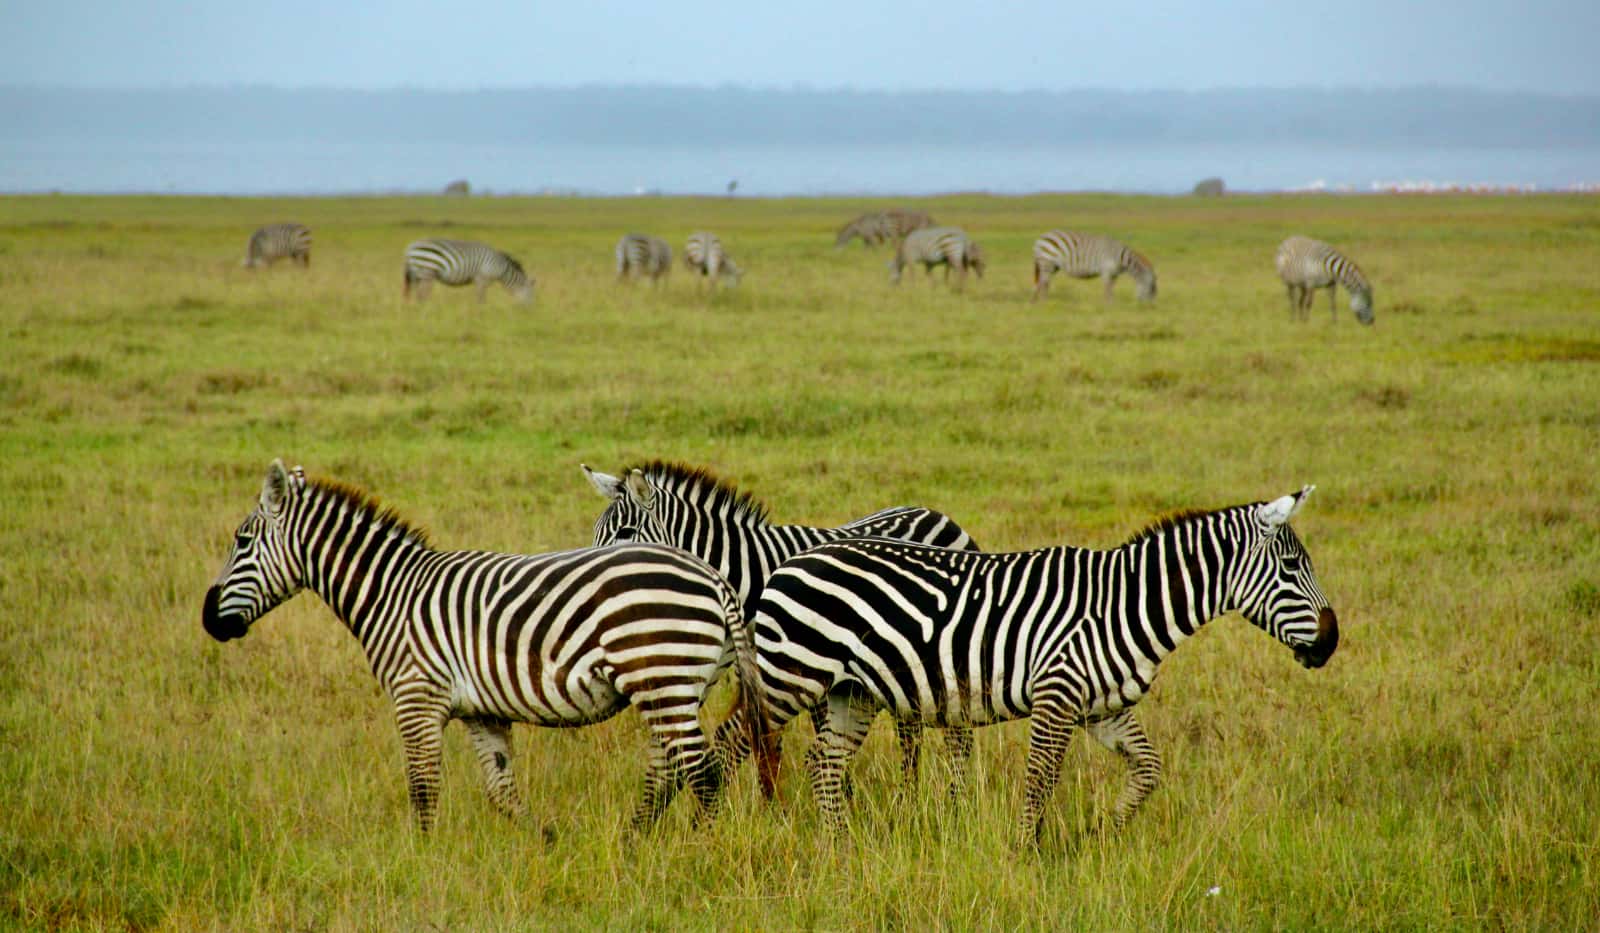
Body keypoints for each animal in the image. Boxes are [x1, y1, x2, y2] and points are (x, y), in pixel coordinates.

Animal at [200, 460, 774, 832]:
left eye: (242, 542)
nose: (208, 618)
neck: (391, 592)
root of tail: (713, 577)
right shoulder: (482, 712)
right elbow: (502, 791)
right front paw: (546, 840)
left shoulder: (417, 698)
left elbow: (422, 790)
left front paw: (422, 860)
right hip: (674, 686)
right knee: (672, 767)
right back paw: (638, 841)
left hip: (661, 678)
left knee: (704, 772)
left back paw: (698, 846)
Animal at [403, 238, 534, 304]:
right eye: (531, 295)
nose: (530, 311)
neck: (501, 268)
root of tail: (410, 247)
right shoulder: (482, 278)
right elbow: (481, 297)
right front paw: (481, 310)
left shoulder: (480, 280)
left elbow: (480, 296)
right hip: (427, 271)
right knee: (421, 294)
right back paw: (425, 307)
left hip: (418, 274)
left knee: (416, 293)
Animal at [585, 460, 979, 796]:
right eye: (596, 533)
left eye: (626, 532)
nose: (595, 573)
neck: (750, 577)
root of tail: (934, 512)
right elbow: (764, 737)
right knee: (910, 727)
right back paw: (909, 794)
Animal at [713, 489, 1337, 844]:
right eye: (1291, 566)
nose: (1331, 641)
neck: (1127, 603)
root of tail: (794, 559)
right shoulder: (1058, 694)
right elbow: (1040, 780)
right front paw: (1023, 851)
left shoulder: (1102, 708)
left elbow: (1148, 770)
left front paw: (1099, 832)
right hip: (788, 673)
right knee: (732, 739)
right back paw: (705, 823)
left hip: (851, 691)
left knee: (823, 762)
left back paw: (838, 846)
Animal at [1030, 232, 1158, 304]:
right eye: (1151, 288)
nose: (1151, 306)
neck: (1121, 257)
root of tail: (1041, 237)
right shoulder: (1106, 270)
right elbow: (1107, 287)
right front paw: (1109, 304)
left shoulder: (1114, 274)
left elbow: (1111, 287)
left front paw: (1112, 302)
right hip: (1046, 261)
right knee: (1043, 282)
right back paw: (1044, 301)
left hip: (1053, 265)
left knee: (1043, 281)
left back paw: (1038, 300)